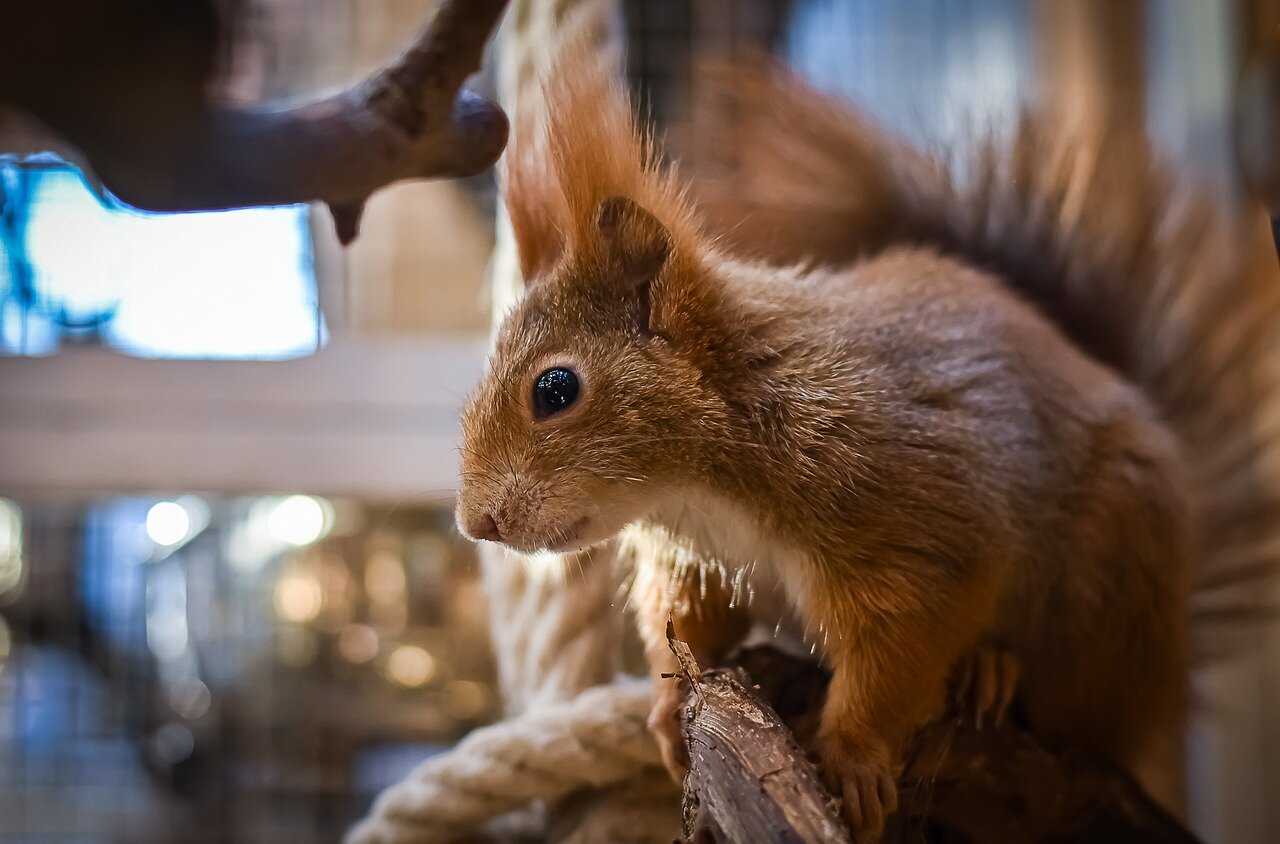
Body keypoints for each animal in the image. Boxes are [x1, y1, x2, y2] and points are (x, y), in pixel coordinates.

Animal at [455, 42, 1280, 841]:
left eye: (554, 390)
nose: (476, 523)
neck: (700, 484)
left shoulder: (910, 520)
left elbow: (900, 648)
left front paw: (853, 757)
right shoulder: (698, 562)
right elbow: (693, 628)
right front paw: (665, 712)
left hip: (1104, 589)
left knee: (1076, 717)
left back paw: (992, 670)